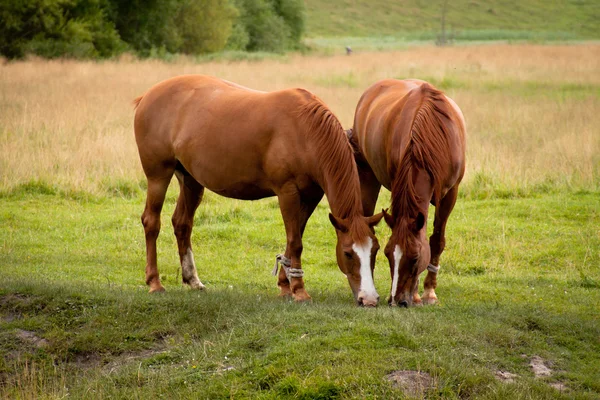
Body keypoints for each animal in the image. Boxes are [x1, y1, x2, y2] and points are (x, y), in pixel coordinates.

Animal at [134, 75, 382, 304]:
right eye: (348, 253)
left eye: (375, 251)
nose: (369, 299)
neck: (304, 132)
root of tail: (146, 97)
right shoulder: (287, 193)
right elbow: (295, 242)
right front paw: (299, 290)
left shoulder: (310, 197)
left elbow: (293, 240)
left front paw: (285, 285)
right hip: (158, 175)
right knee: (151, 222)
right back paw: (154, 282)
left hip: (191, 180)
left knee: (182, 223)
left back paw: (192, 279)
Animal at [350, 79, 466, 308]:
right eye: (388, 254)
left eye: (414, 258)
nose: (398, 300)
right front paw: (416, 295)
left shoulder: (450, 194)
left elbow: (436, 240)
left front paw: (429, 292)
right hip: (368, 176)